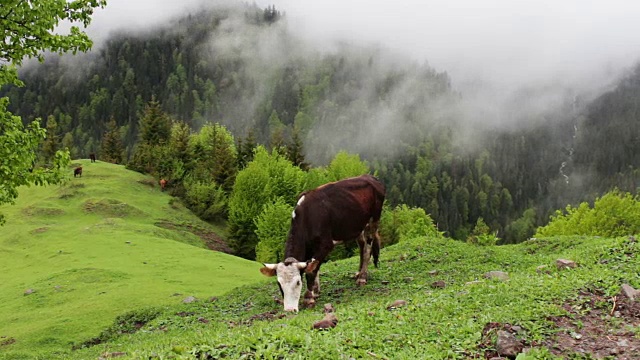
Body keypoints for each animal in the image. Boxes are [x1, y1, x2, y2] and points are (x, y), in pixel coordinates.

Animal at [258, 174, 384, 312]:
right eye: (279, 283)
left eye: (298, 282)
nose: (290, 309)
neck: (308, 217)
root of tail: (369, 176)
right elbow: (314, 266)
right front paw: (315, 290)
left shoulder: (326, 245)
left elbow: (311, 271)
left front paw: (309, 298)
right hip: (358, 226)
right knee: (362, 245)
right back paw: (358, 273)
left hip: (373, 221)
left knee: (367, 248)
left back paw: (362, 277)